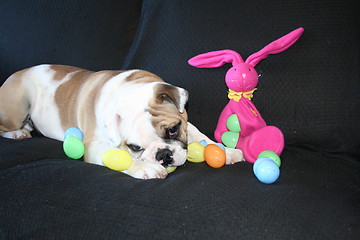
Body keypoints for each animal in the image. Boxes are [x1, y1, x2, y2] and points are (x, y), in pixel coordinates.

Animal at [0, 64, 243, 179]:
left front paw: (227, 151)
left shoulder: (185, 121)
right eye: (135, 147)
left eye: (174, 130)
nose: (163, 155)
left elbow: (201, 136)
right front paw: (146, 168)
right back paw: (17, 133)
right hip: (17, 105)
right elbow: (121, 157)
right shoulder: (95, 146)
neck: (131, 93)